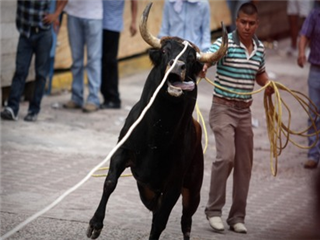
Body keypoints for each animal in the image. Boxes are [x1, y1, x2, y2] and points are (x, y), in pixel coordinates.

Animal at [87, 2, 228, 240]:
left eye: (191, 58)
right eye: (165, 51)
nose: (177, 66)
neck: (158, 133)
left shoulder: (174, 183)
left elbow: (161, 222)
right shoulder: (122, 152)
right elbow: (110, 182)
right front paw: (95, 224)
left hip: (193, 187)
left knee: (186, 220)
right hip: (147, 190)